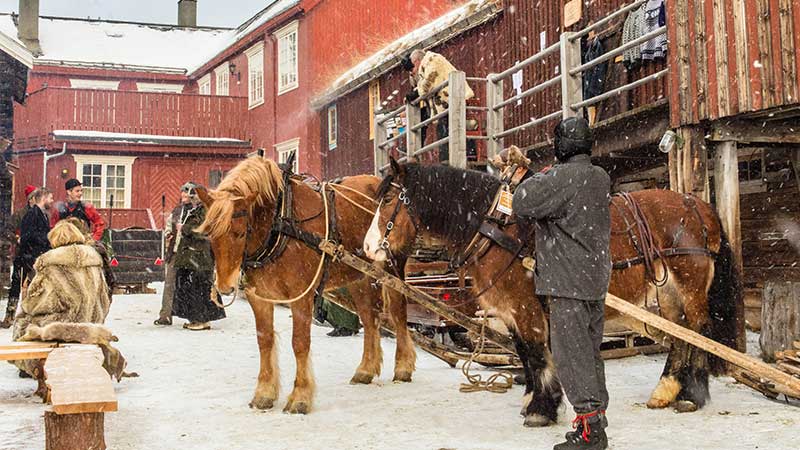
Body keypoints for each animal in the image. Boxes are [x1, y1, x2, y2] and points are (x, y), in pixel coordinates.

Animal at [197, 158, 416, 414]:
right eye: (210, 234)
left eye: (241, 233)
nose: (225, 287)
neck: (279, 224)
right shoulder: (259, 297)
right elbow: (264, 341)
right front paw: (264, 393)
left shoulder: (301, 295)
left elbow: (300, 343)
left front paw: (300, 397)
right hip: (359, 277)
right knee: (370, 319)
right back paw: (365, 369)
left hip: (392, 267)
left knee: (398, 313)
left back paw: (403, 366)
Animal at [366, 160, 740, 428]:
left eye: (389, 199)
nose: (369, 248)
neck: (498, 228)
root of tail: (700, 207)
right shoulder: (511, 312)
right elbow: (524, 354)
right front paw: (533, 399)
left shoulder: (525, 308)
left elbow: (536, 355)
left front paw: (541, 408)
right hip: (667, 294)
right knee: (681, 336)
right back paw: (666, 390)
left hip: (689, 287)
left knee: (699, 332)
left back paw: (692, 395)